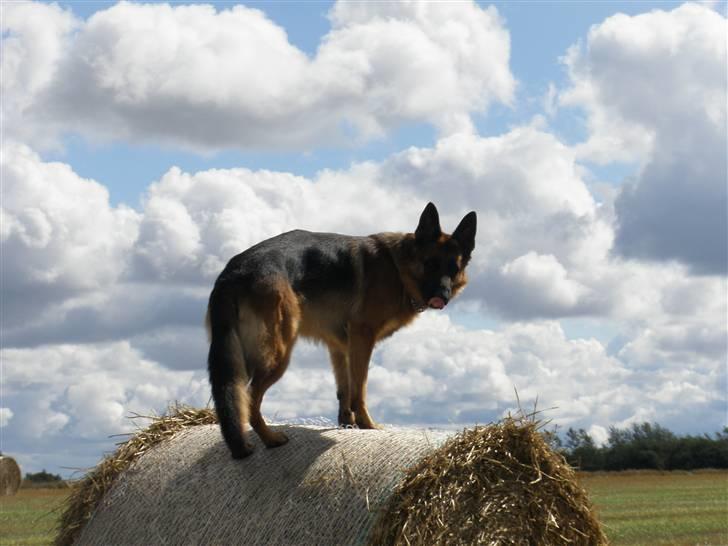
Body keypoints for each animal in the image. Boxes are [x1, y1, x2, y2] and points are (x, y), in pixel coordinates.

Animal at [206, 202, 478, 456]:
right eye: (430, 264)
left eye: (453, 269)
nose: (442, 297)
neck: (398, 267)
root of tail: (233, 272)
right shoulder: (362, 336)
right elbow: (360, 388)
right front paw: (368, 425)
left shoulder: (340, 345)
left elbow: (344, 388)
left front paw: (347, 423)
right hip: (277, 352)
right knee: (249, 397)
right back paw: (270, 439)